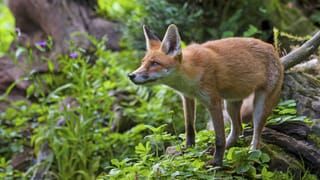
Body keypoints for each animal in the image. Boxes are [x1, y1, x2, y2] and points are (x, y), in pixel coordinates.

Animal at [127, 23, 282, 166]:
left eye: (154, 63)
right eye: (143, 62)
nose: (131, 75)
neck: (191, 72)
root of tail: (272, 48)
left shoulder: (213, 101)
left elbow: (219, 137)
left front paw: (216, 162)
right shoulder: (187, 97)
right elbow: (190, 128)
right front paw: (188, 150)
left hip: (259, 107)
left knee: (256, 135)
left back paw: (251, 153)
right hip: (230, 105)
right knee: (238, 129)